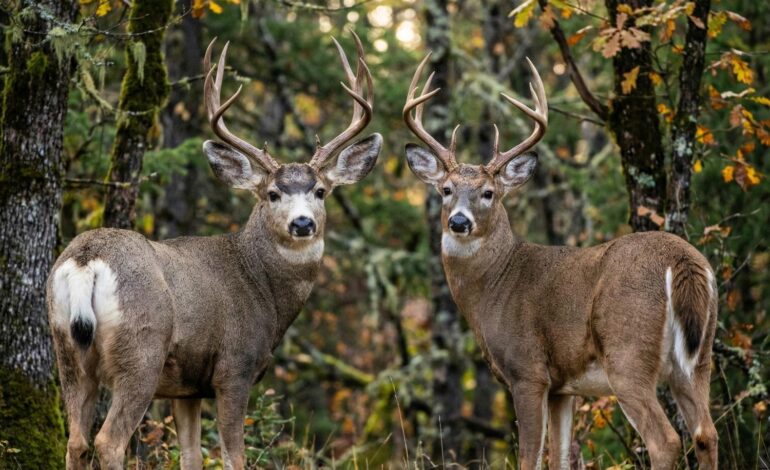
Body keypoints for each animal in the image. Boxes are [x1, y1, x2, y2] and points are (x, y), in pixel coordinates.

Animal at [47, 33, 381, 470]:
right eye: (272, 193)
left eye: (321, 191)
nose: (302, 223)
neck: (262, 288)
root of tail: (87, 258)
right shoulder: (234, 367)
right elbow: (233, 455)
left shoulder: (186, 387)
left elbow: (191, 456)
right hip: (142, 349)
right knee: (108, 441)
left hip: (65, 349)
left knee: (76, 441)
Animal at [402, 53, 718, 470]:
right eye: (446, 189)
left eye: (488, 193)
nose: (459, 221)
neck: (495, 285)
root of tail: (683, 260)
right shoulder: (563, 388)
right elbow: (562, 456)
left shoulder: (528, 370)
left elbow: (530, 457)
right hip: (699, 357)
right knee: (706, 433)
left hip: (628, 350)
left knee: (665, 440)